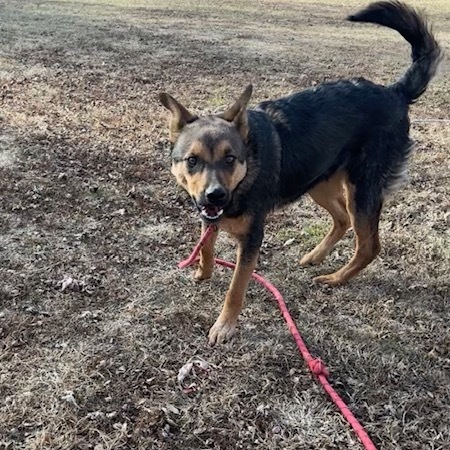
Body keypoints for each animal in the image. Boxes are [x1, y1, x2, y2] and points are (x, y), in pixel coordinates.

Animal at [160, 1, 442, 344]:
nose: (215, 195)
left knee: (369, 246)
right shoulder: (209, 215)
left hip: (361, 190)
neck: (248, 169)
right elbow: (207, 246)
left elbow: (236, 288)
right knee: (342, 219)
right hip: (318, 182)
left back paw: (335, 278)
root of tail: (394, 93)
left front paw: (224, 325)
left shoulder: (251, 239)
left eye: (230, 159)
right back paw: (316, 256)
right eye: (192, 161)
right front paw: (203, 272)